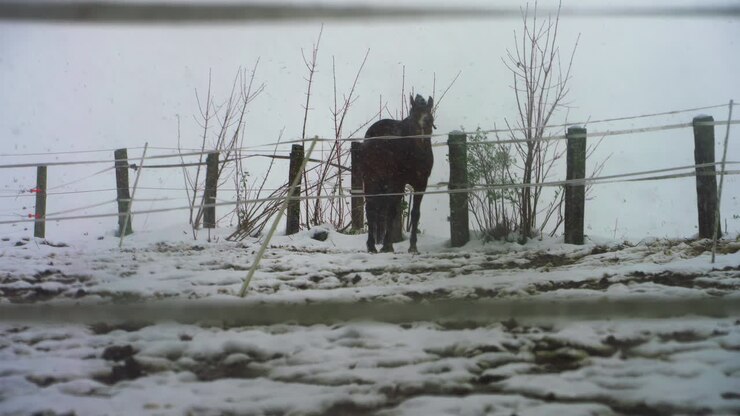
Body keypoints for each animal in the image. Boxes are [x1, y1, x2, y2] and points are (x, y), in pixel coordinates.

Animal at [360, 94, 435, 254]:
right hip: (371, 179)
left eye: (429, 121)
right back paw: (371, 245)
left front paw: (413, 246)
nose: (420, 145)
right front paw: (387, 245)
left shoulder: (421, 184)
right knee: (371, 209)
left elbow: (415, 213)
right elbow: (392, 210)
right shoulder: (398, 182)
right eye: (412, 120)